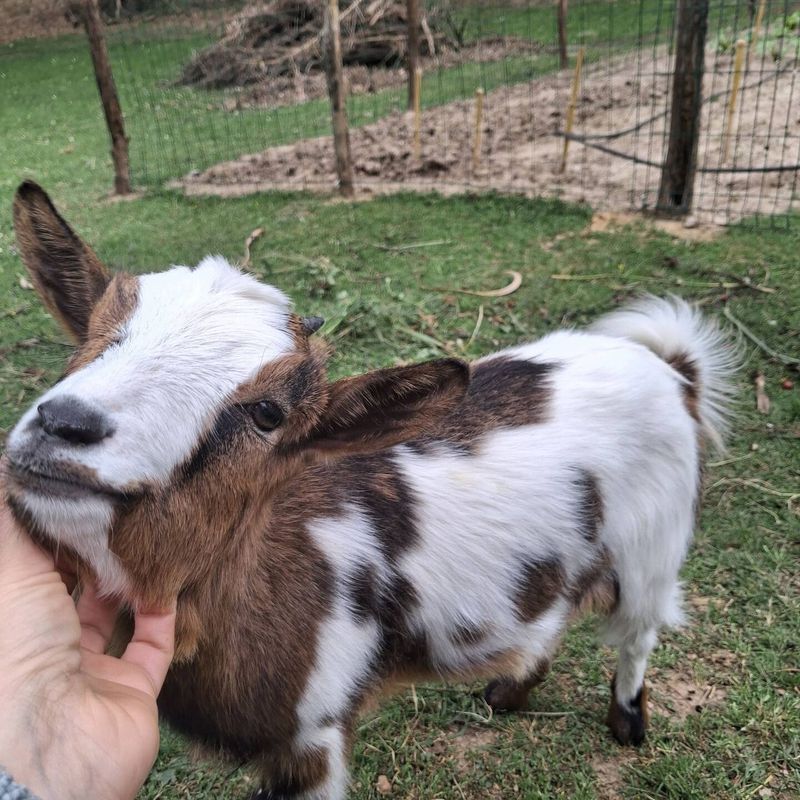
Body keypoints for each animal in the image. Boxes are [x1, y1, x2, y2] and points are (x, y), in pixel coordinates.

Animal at [4, 182, 737, 800]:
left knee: (638, 632)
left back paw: (627, 723)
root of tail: (671, 370)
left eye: (270, 413)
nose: (64, 424)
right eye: (93, 334)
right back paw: (506, 693)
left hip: (654, 547)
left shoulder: (316, 735)